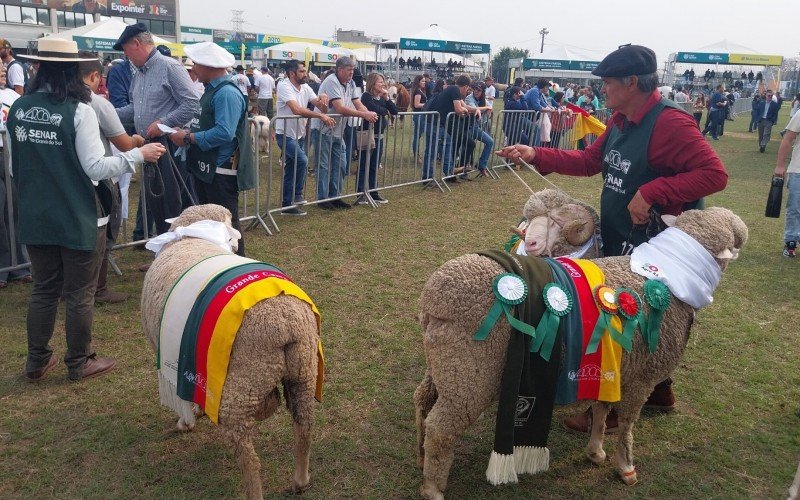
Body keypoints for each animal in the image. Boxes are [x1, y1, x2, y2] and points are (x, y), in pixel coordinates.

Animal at [142, 204, 320, 500]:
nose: (236, 245)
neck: (191, 237)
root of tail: (285, 322)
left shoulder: (170, 348)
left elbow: (180, 396)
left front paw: (186, 420)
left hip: (241, 387)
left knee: (249, 458)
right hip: (304, 371)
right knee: (304, 428)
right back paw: (301, 480)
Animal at [416, 205, 748, 498]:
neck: (667, 276)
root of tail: (435, 296)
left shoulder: (615, 363)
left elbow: (602, 409)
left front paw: (595, 451)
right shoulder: (644, 376)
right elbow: (626, 424)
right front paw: (626, 467)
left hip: (446, 365)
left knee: (422, 401)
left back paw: (421, 457)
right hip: (471, 375)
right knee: (441, 428)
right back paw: (433, 488)